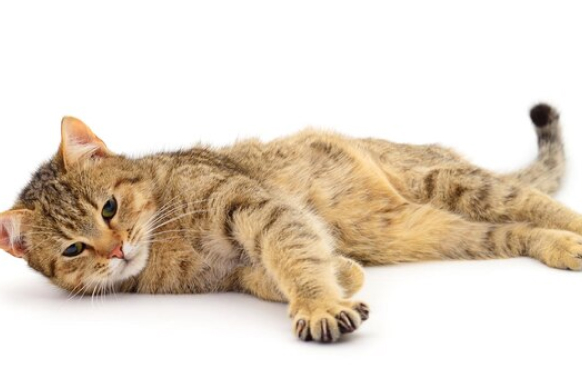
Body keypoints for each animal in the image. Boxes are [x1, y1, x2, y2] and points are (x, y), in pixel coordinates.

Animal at [1, 103, 582, 342]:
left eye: (109, 209)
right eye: (74, 250)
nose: (117, 248)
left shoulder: (254, 206)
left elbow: (293, 256)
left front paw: (320, 304)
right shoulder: (237, 273)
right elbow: (288, 267)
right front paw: (343, 275)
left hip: (452, 182)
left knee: (536, 201)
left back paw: (574, 228)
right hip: (445, 232)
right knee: (519, 232)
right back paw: (560, 247)